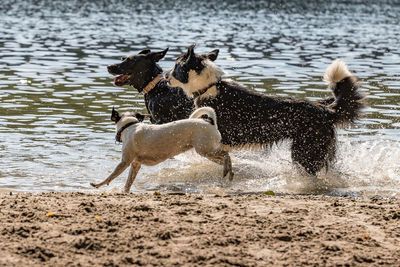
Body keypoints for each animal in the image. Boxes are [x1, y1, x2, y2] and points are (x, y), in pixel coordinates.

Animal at [90, 107, 234, 193]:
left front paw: (98, 184)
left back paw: (227, 170)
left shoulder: (125, 162)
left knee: (226, 154)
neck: (130, 126)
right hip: (208, 153)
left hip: (205, 150)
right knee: (225, 160)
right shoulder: (135, 164)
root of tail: (210, 123)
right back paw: (229, 172)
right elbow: (128, 182)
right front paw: (125, 192)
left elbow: (111, 176)